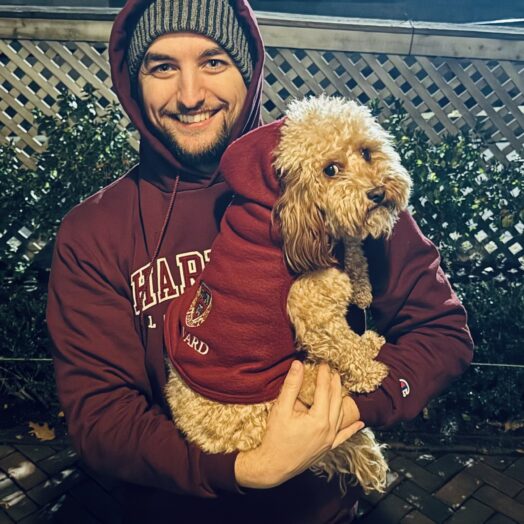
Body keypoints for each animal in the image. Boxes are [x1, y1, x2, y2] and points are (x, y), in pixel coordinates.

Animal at [166, 96, 412, 494]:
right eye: (330, 170)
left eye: (367, 151)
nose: (376, 193)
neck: (285, 205)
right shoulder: (311, 312)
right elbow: (342, 342)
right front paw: (369, 368)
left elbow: (349, 246)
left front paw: (360, 281)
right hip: (293, 384)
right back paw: (368, 347)